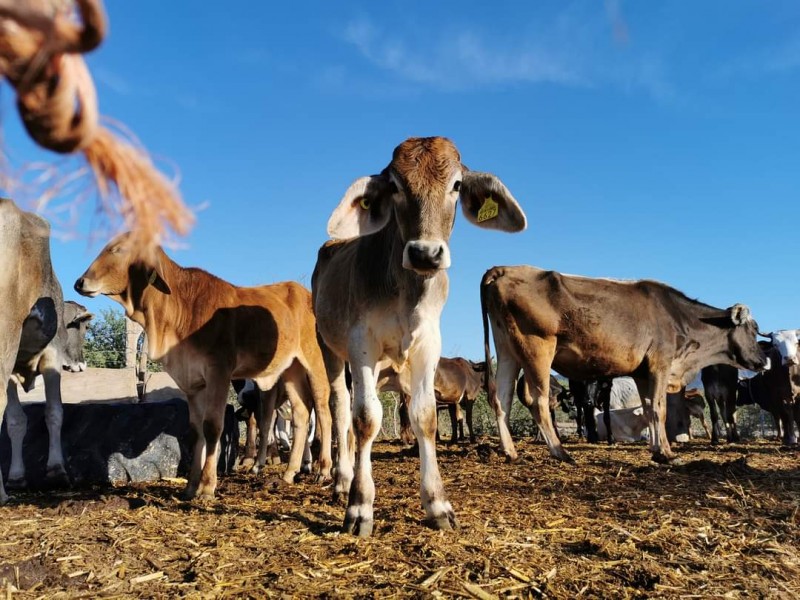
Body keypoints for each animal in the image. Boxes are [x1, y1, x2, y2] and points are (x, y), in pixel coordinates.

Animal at [76, 233, 332, 496]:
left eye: (118, 249)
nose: (80, 283)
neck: (179, 308)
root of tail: (305, 294)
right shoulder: (193, 382)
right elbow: (195, 430)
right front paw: (191, 486)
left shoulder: (219, 372)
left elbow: (212, 426)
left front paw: (208, 485)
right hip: (291, 369)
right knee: (302, 413)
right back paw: (290, 472)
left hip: (316, 364)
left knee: (323, 411)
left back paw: (323, 470)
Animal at [310, 137, 524, 540]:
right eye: (394, 185)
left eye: (457, 185)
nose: (425, 253)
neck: (405, 291)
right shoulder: (362, 343)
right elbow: (365, 418)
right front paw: (360, 506)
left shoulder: (427, 344)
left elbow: (424, 417)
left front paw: (437, 505)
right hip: (329, 346)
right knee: (340, 406)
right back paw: (342, 479)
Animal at [482, 264, 768, 466]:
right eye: (753, 330)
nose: (764, 361)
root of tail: (504, 268)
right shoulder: (660, 364)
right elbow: (660, 409)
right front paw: (667, 453)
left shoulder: (642, 373)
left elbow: (649, 408)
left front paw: (656, 449)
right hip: (537, 348)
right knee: (538, 402)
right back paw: (560, 452)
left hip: (507, 350)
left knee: (502, 400)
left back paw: (510, 451)